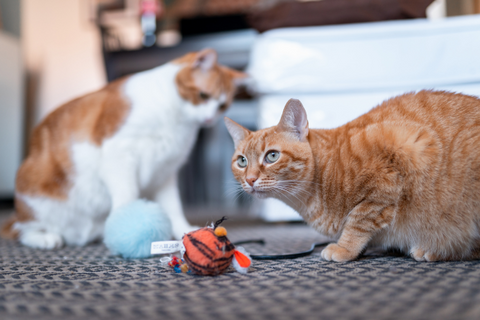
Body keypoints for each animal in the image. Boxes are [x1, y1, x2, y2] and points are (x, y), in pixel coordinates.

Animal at [1, 48, 246, 250]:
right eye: (203, 95)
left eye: (222, 106)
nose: (209, 119)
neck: (176, 119)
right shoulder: (119, 154)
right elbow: (128, 195)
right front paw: (127, 228)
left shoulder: (165, 172)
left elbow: (173, 206)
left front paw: (183, 230)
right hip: (32, 193)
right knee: (20, 230)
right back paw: (44, 238)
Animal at [225, 91, 480, 262]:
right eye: (242, 161)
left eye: (272, 156)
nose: (250, 179)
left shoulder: (393, 163)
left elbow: (358, 221)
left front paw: (345, 248)